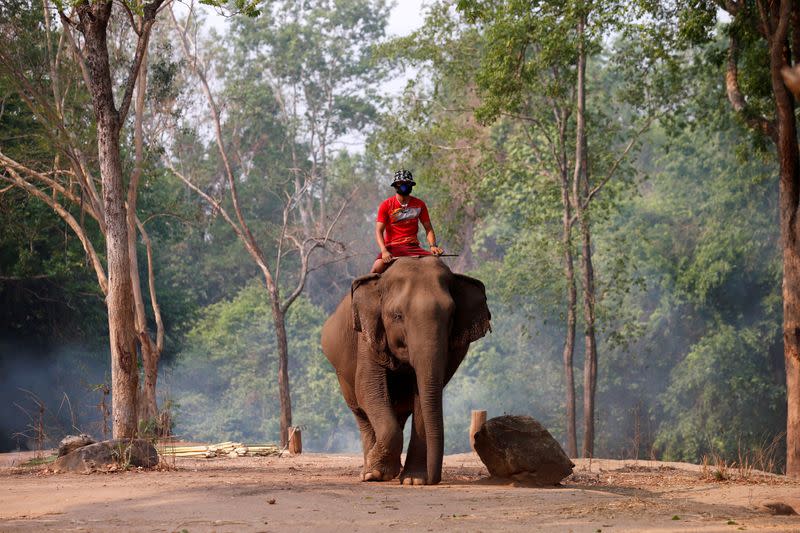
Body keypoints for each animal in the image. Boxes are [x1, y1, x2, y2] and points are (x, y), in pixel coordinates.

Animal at [322, 256, 490, 484]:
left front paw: (414, 480)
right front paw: (376, 474)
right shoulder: (367, 337)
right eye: (397, 315)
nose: (434, 479)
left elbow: (423, 397)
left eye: (451, 315)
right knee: (361, 412)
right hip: (342, 374)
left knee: (400, 411)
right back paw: (370, 472)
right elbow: (369, 389)